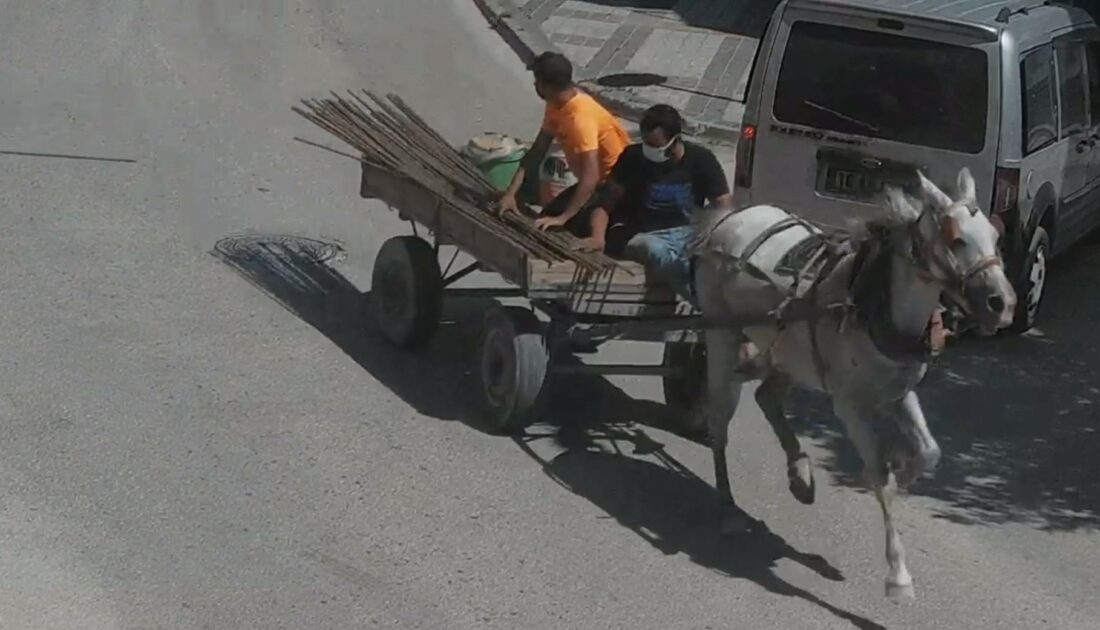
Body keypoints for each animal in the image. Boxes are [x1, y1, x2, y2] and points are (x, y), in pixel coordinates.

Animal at [690, 167, 1016, 598]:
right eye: (956, 239)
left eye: (996, 236)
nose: (1003, 304)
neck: (873, 303)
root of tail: (731, 218)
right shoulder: (850, 406)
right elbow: (880, 476)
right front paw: (898, 576)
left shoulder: (900, 392)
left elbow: (929, 452)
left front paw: (908, 471)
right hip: (722, 335)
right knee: (720, 418)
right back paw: (727, 507)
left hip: (789, 349)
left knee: (767, 397)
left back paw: (800, 475)